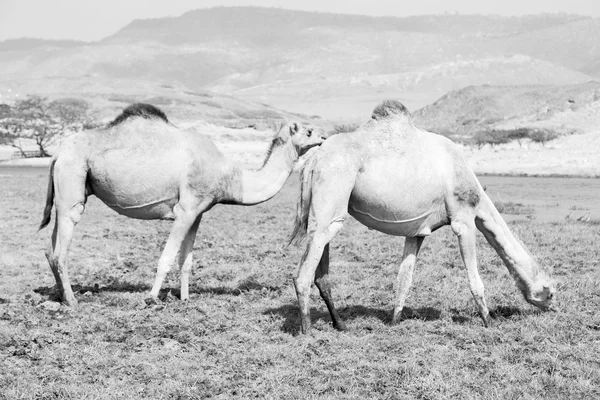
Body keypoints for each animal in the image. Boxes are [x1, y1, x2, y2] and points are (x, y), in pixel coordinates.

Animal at [39, 103, 326, 306]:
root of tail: (57, 154)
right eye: (308, 131)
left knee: (51, 248)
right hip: (72, 175)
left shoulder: (198, 212)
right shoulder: (185, 210)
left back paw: (61, 297)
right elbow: (166, 257)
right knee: (63, 240)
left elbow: (186, 260)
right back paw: (73, 301)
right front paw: (151, 298)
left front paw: (185, 298)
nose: (324, 136)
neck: (228, 175)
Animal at [288, 100, 556, 334]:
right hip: (332, 191)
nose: (553, 307)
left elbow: (404, 279)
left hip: (325, 213)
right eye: (550, 291)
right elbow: (474, 279)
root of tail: (312, 160)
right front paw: (488, 321)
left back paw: (340, 324)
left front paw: (394, 321)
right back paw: (307, 330)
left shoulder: (416, 232)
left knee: (321, 271)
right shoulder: (463, 219)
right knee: (303, 274)